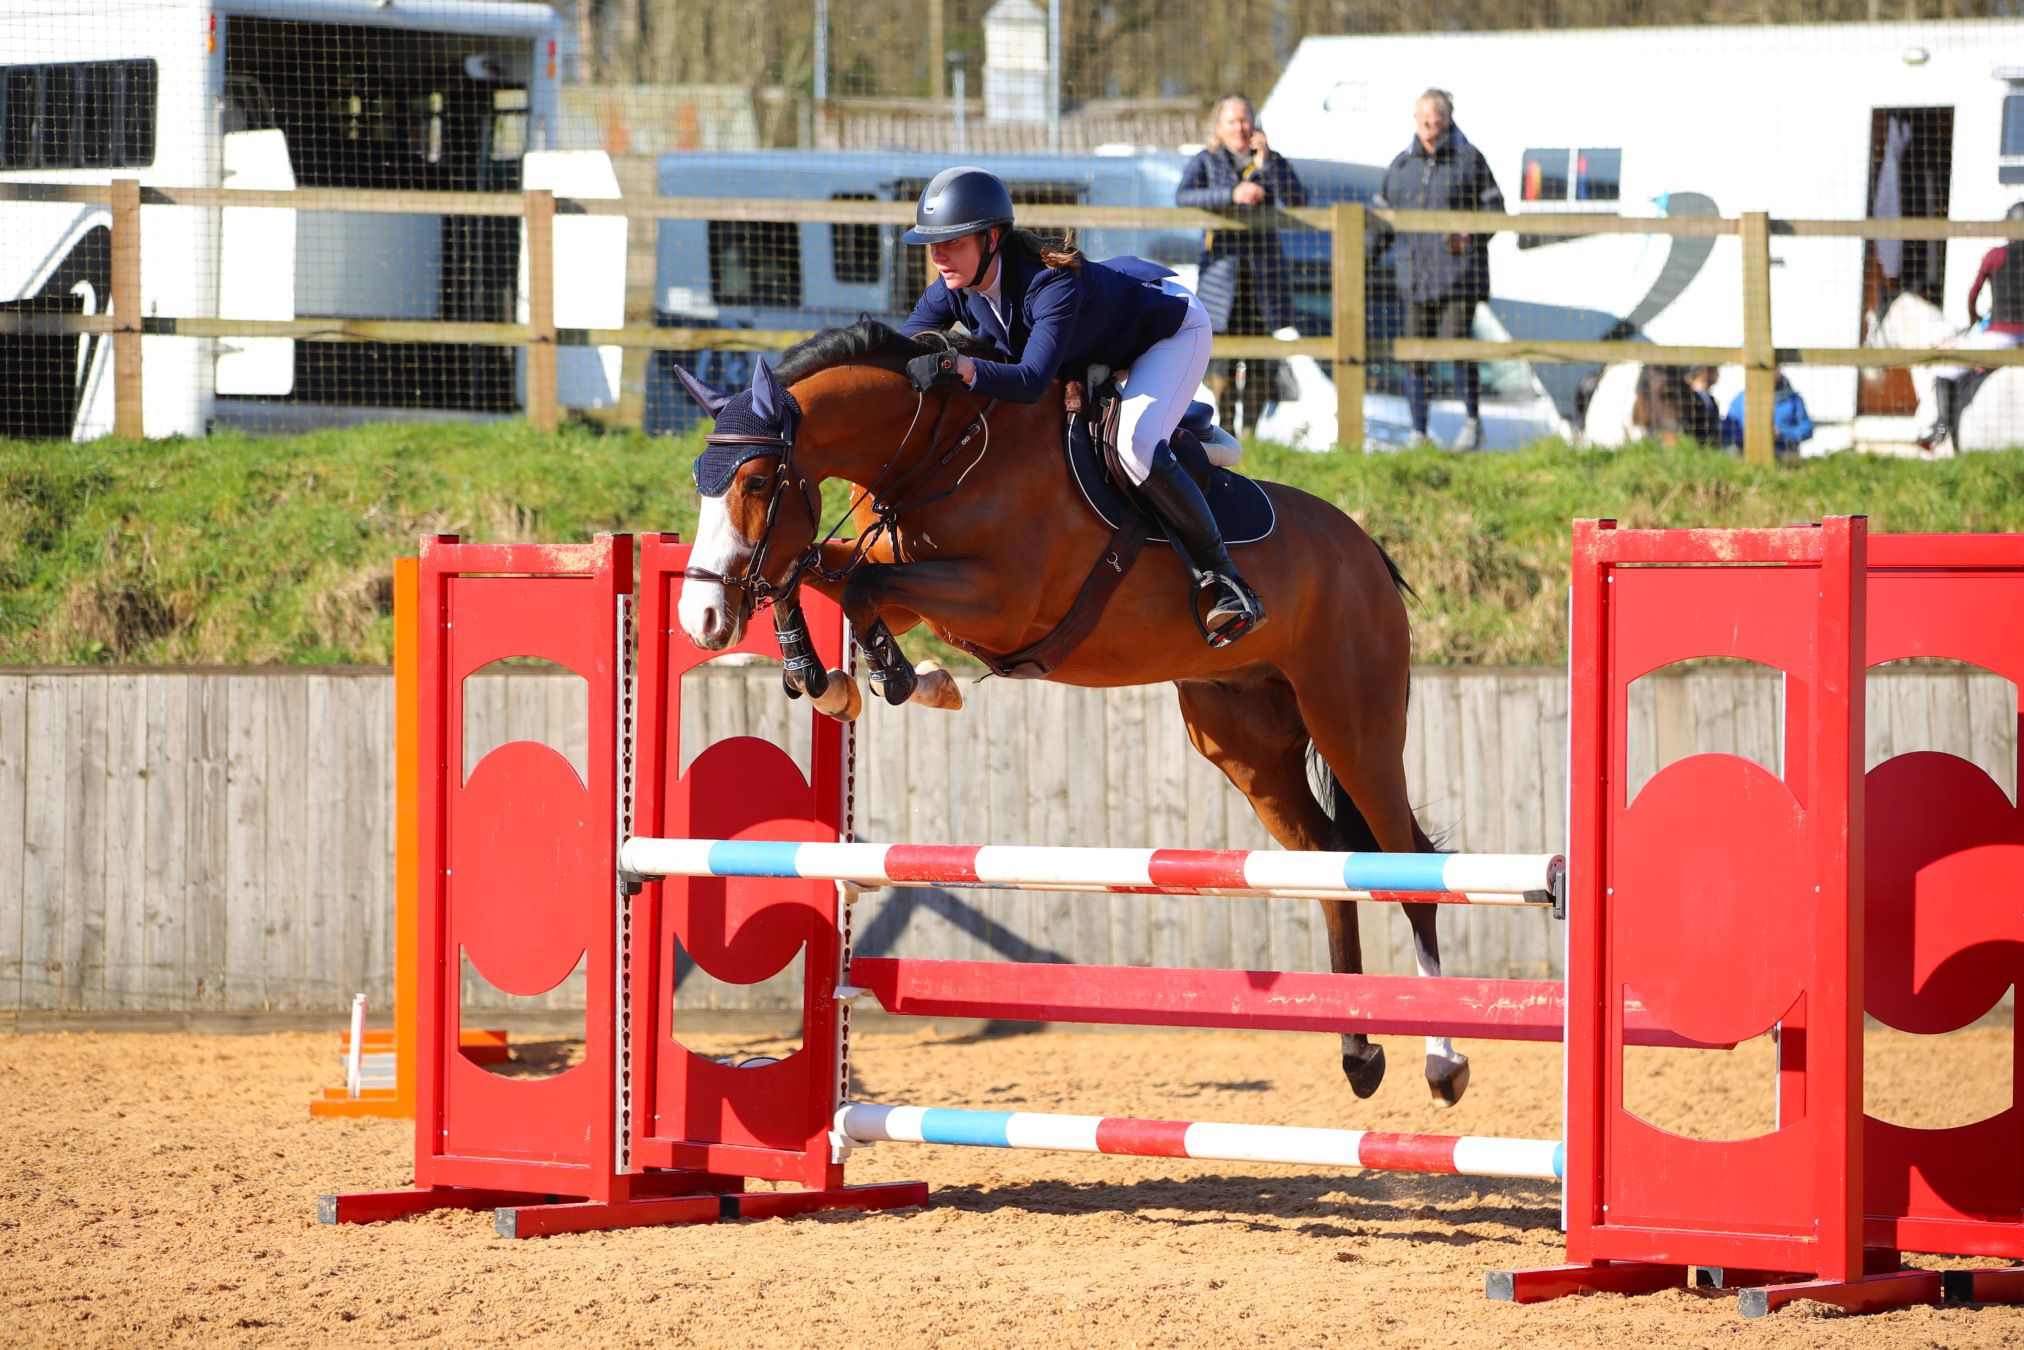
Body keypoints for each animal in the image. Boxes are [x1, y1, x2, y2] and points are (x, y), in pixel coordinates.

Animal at [672, 318, 1471, 1108]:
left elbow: (859, 585)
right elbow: (819, 572)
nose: (701, 618)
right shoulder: (908, 583)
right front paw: (825, 678)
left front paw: (906, 679)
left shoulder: (997, 599)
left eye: (755, 480)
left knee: (1407, 865)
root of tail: (1365, 549)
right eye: (701, 483)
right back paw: (1359, 1053)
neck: (935, 446)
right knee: (1330, 860)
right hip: (1246, 744)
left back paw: (1443, 1063)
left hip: (1352, 723)